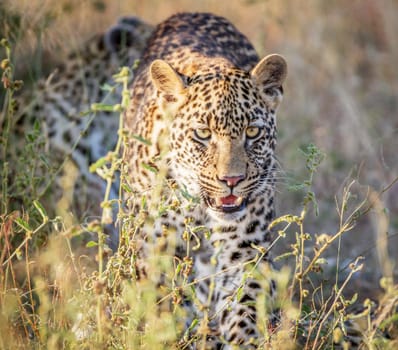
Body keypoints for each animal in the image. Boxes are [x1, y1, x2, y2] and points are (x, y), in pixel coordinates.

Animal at [123, 11, 288, 348]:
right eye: (202, 134)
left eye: (253, 132)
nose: (232, 180)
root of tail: (187, 13)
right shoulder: (155, 253)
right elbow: (165, 308)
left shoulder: (244, 252)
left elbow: (246, 308)